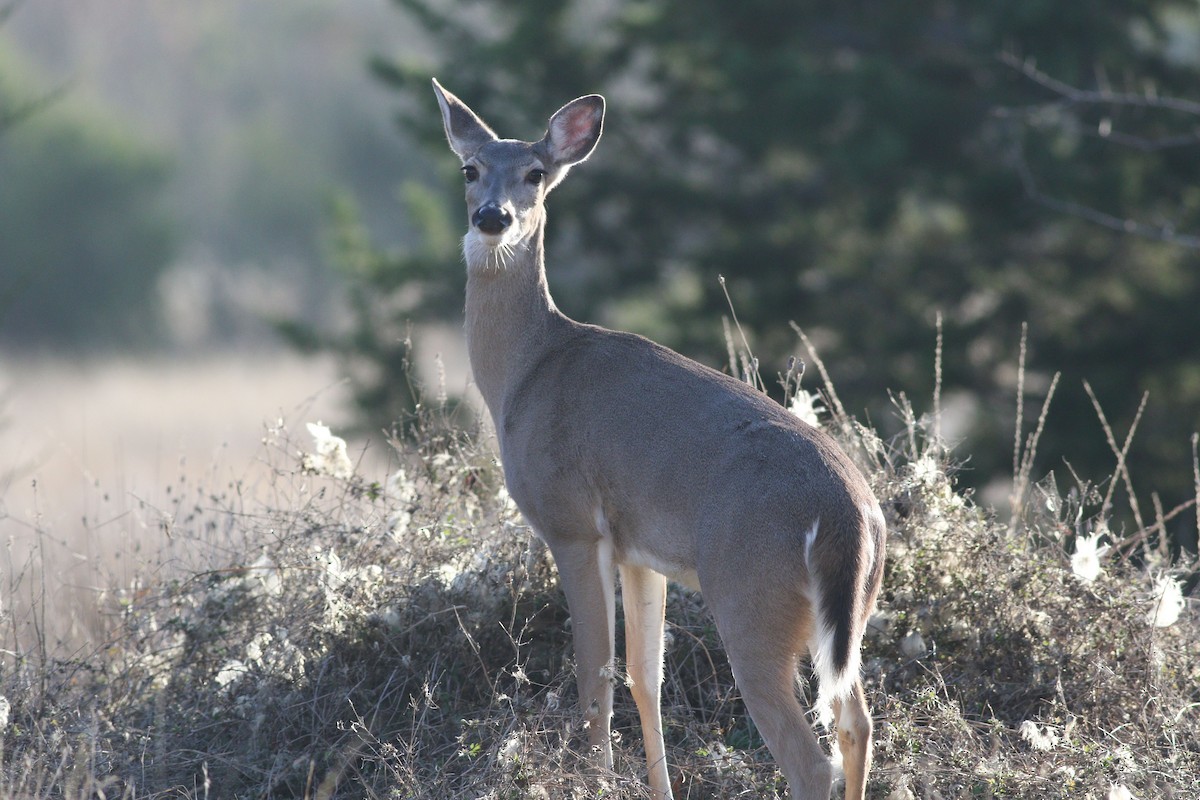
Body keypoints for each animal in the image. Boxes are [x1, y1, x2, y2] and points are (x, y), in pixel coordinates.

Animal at [431, 78, 886, 800]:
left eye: (536, 174)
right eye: (470, 170)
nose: (493, 218)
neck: (525, 371)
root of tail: (851, 515)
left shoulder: (571, 522)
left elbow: (596, 677)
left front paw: (593, 778)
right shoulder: (640, 549)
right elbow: (646, 677)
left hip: (751, 599)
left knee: (812, 758)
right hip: (850, 619)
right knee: (857, 723)